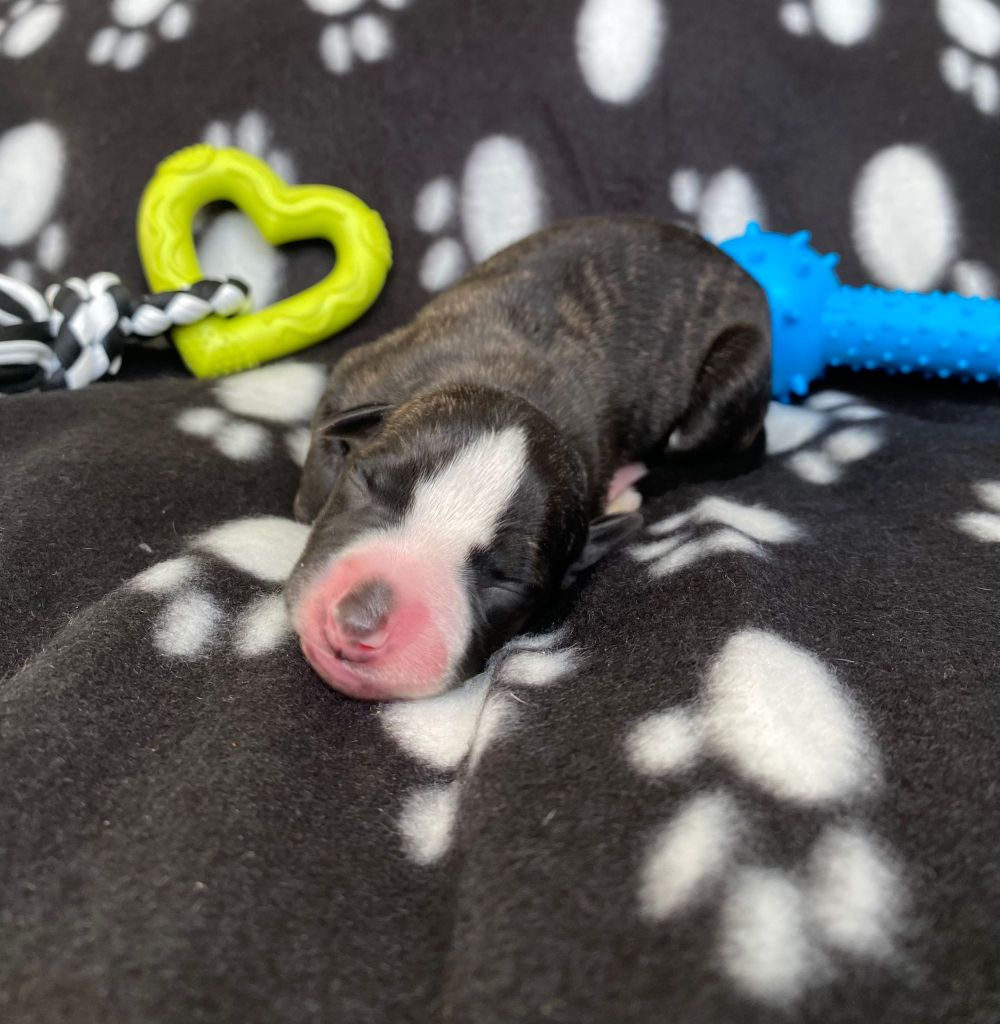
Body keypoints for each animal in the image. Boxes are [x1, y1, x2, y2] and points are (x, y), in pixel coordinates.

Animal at [285, 215, 771, 700]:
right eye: (364, 482)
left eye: (507, 583)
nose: (360, 622)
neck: (511, 385)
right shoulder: (358, 376)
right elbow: (314, 483)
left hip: (725, 390)